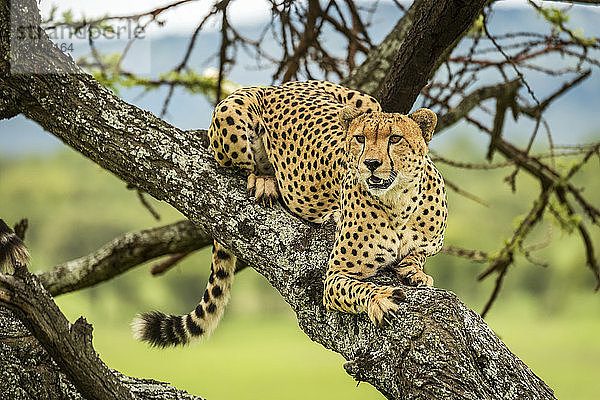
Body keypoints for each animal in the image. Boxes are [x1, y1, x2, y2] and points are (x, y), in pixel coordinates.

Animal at [135, 79, 446, 346]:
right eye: (359, 138)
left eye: (395, 139)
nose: (370, 163)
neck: (399, 202)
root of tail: (282, 85)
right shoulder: (335, 276)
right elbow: (359, 288)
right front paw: (381, 298)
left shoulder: (430, 243)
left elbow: (419, 253)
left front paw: (414, 270)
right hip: (231, 110)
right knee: (242, 167)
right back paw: (265, 181)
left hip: (367, 100)